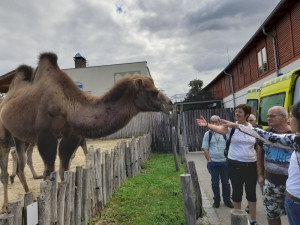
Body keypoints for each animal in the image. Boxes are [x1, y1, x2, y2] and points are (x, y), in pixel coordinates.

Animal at [0, 51, 172, 212]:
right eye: (154, 92)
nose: (170, 104)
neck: (69, 105)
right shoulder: (46, 135)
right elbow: (49, 173)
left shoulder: (71, 135)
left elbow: (64, 169)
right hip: (5, 131)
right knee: (5, 165)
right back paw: (5, 206)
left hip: (21, 136)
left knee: (21, 163)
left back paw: (27, 194)